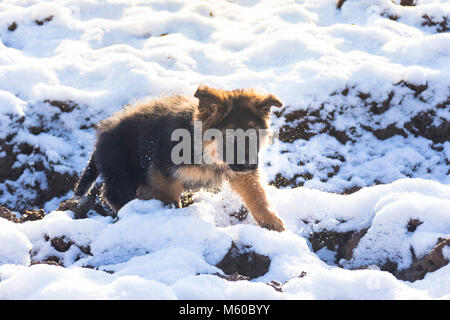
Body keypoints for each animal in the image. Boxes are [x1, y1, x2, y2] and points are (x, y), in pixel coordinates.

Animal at [74, 84, 284, 231]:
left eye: (254, 136)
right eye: (230, 137)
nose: (250, 165)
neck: (204, 152)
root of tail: (101, 136)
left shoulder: (240, 172)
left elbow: (258, 196)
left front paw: (273, 223)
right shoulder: (164, 172)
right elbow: (171, 200)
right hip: (123, 170)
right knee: (113, 193)